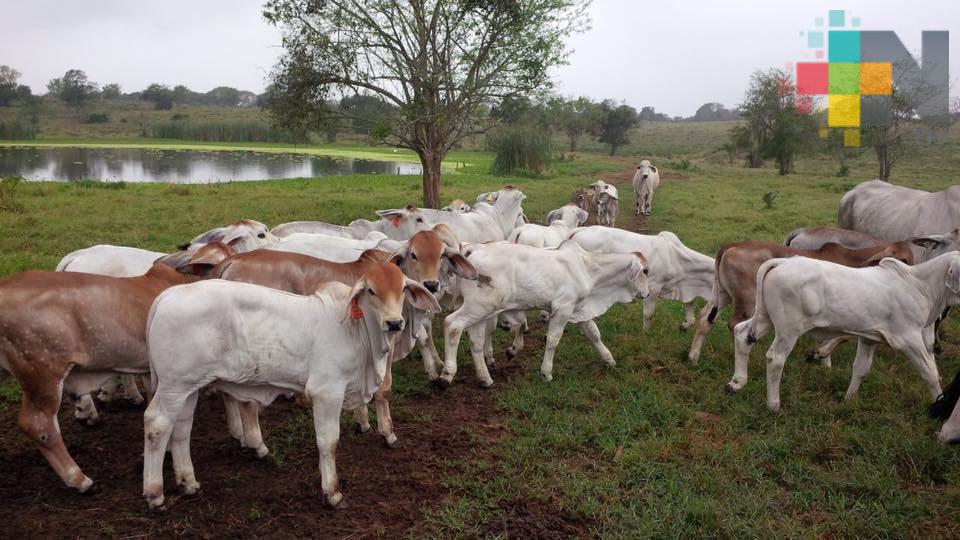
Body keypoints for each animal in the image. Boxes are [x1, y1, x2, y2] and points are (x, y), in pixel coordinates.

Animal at [142, 260, 442, 508]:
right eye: (370, 290)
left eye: (403, 288)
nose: (394, 323)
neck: (357, 333)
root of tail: (167, 296)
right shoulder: (326, 392)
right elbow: (329, 442)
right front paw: (332, 492)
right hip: (174, 386)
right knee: (157, 425)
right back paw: (155, 494)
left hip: (188, 387)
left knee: (181, 427)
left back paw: (189, 482)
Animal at [438, 239, 648, 384]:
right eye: (645, 271)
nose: (646, 293)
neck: (588, 268)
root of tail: (473, 248)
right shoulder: (563, 309)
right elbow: (553, 340)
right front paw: (546, 372)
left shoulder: (578, 309)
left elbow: (594, 334)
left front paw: (609, 360)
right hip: (478, 307)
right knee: (452, 324)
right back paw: (446, 375)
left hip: (482, 312)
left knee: (476, 341)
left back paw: (485, 378)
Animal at [568, 226, 712, 332]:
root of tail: (580, 230)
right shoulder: (653, 288)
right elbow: (648, 314)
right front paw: (645, 333)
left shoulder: (684, 289)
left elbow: (690, 312)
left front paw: (684, 325)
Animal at [688, 238, 916, 364]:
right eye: (903, 259)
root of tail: (731, 246)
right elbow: (843, 337)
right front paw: (819, 355)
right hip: (747, 301)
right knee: (735, 325)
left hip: (723, 295)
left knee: (705, 318)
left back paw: (693, 357)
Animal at [728, 251, 960, 412]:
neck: (920, 286)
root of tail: (783, 261)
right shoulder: (908, 338)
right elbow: (930, 372)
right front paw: (939, 404)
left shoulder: (870, 339)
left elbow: (860, 368)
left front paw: (849, 399)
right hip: (788, 329)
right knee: (775, 358)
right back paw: (774, 405)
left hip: (765, 318)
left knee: (742, 334)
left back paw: (736, 382)